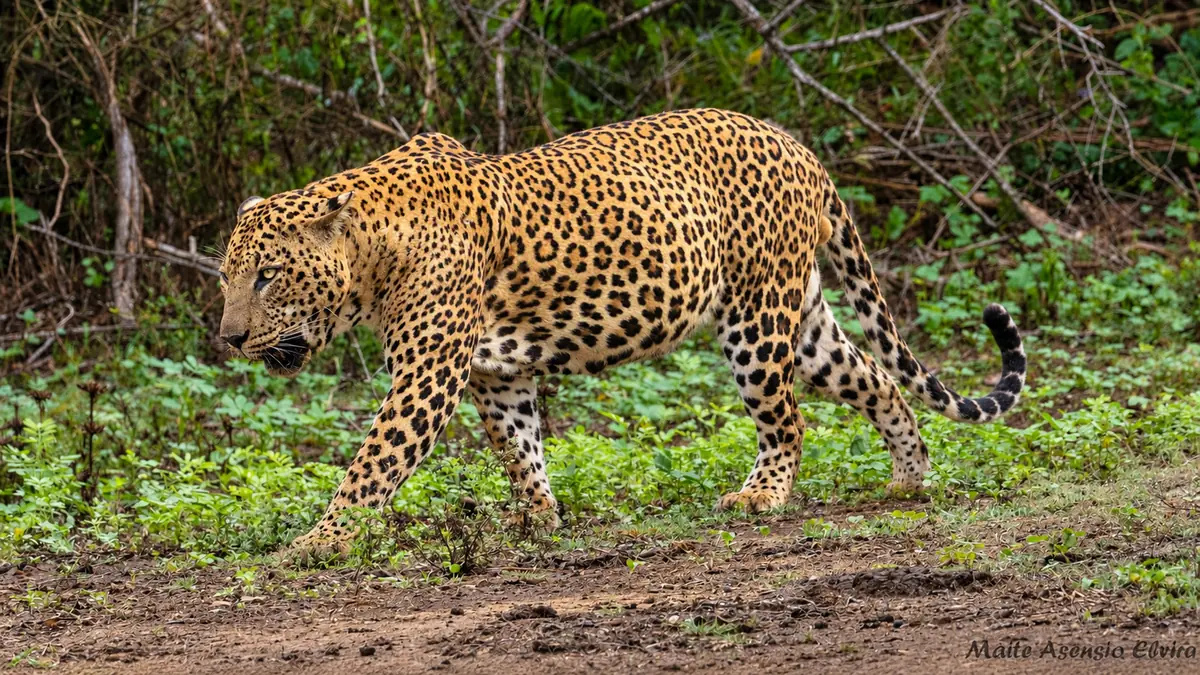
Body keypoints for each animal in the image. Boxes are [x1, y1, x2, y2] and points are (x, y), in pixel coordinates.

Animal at [216, 109, 1026, 559]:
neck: (372, 253)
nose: (228, 338)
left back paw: (761, 496)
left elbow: (372, 464)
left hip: (755, 317)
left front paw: (320, 542)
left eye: (268, 276)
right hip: (802, 320)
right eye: (228, 275)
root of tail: (798, 148)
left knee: (788, 418)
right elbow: (520, 448)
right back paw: (911, 475)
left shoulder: (428, 376)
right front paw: (539, 520)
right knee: (877, 376)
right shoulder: (495, 374)